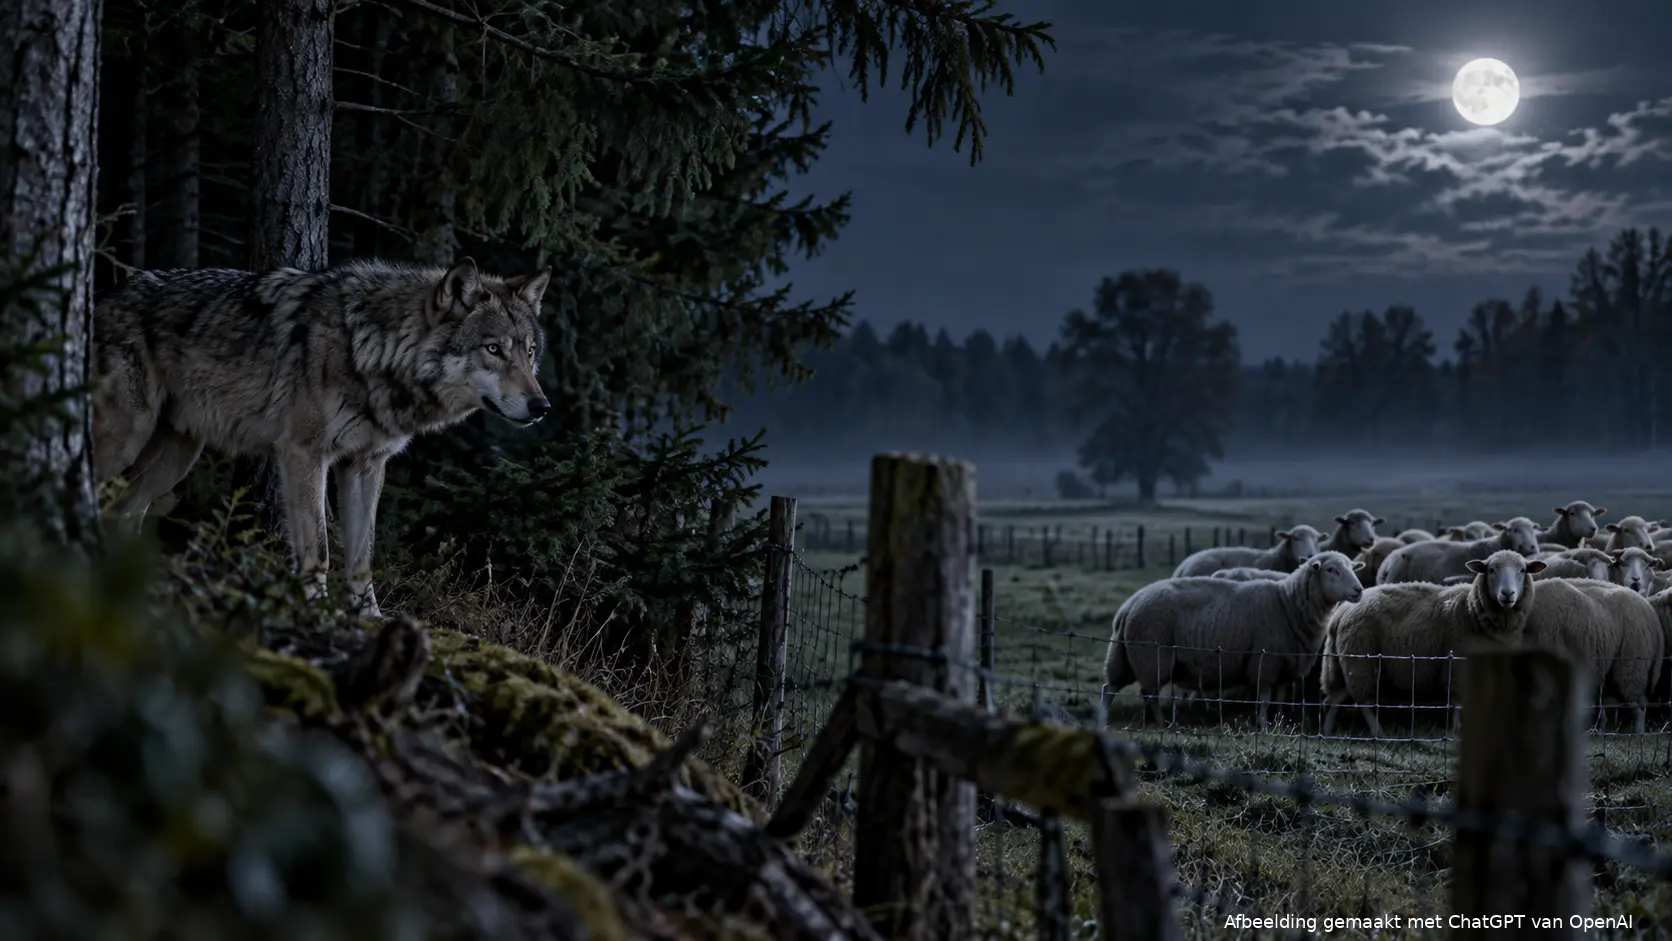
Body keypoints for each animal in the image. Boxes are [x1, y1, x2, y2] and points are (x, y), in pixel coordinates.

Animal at [92, 256, 553, 618]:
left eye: (529, 352)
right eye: (493, 350)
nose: (542, 407)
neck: (372, 353)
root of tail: (103, 297)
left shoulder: (366, 466)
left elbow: (363, 556)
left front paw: (370, 619)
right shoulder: (304, 454)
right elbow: (320, 549)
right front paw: (314, 608)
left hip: (177, 455)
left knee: (123, 511)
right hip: (125, 438)